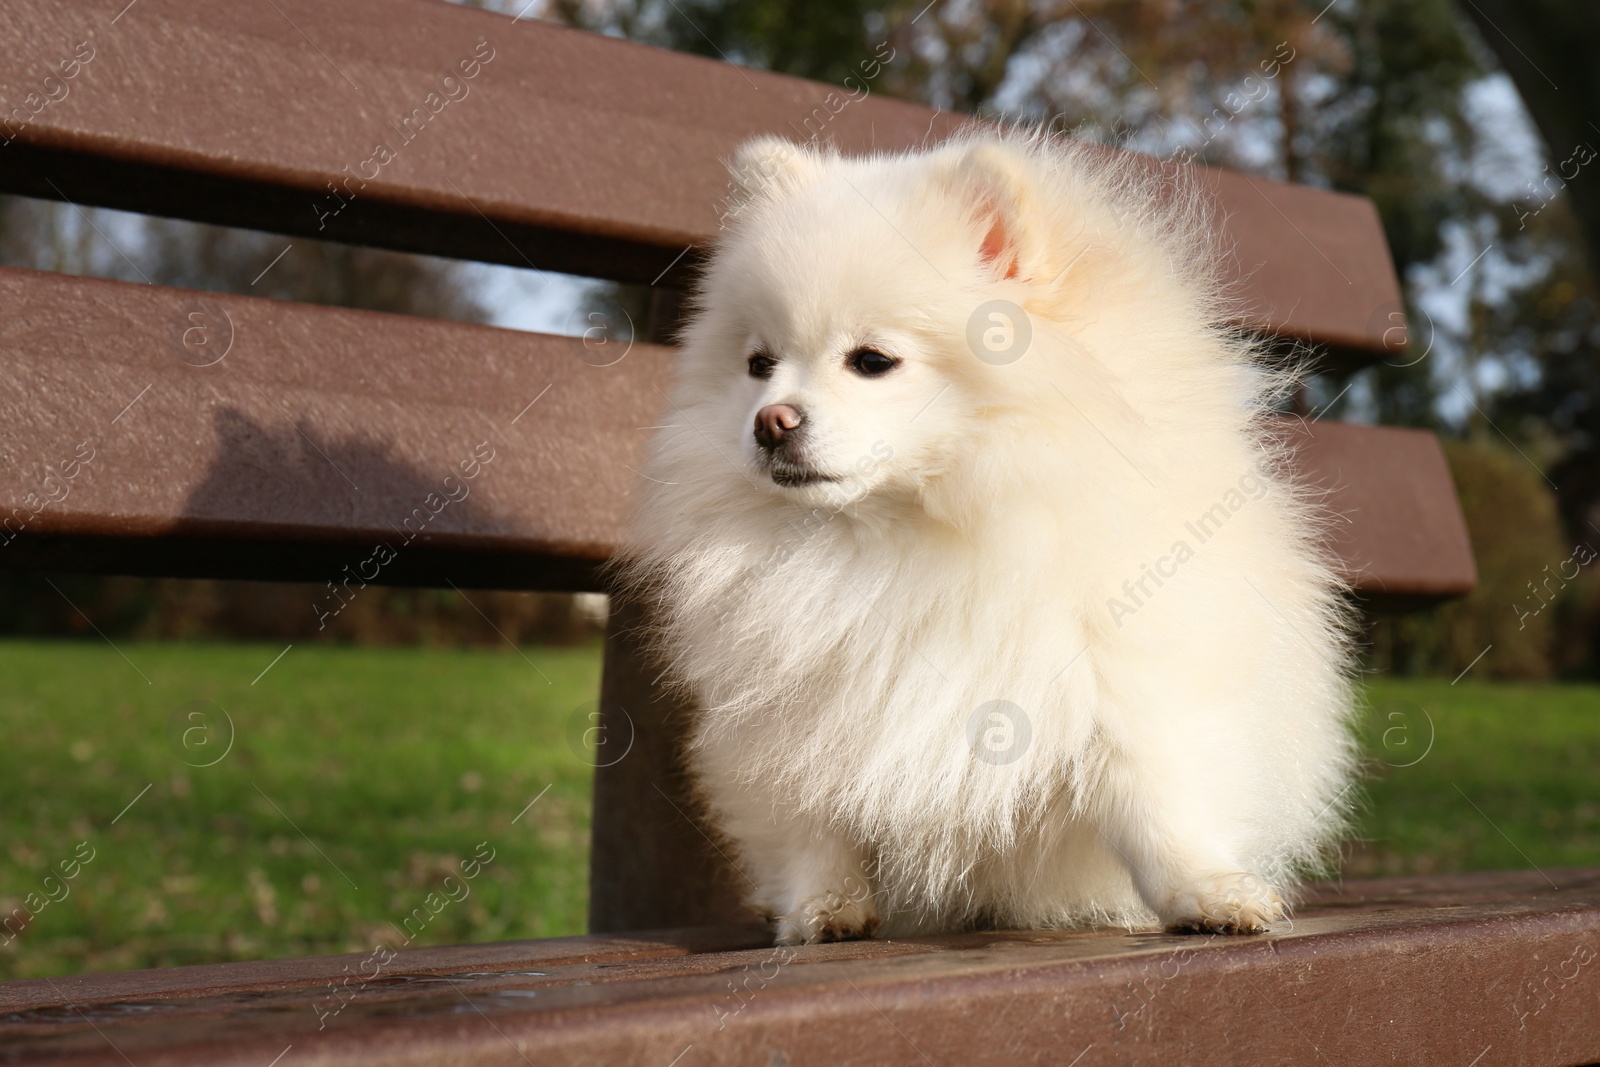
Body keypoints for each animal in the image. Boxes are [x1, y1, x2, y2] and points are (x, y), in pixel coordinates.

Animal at [617, 127, 1356, 940]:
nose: (770, 421)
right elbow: (815, 824)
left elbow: (1157, 798)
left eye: (871, 361)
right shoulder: (800, 712)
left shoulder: (1123, 673)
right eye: (758, 364)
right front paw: (824, 907)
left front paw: (1207, 891)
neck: (901, 534)